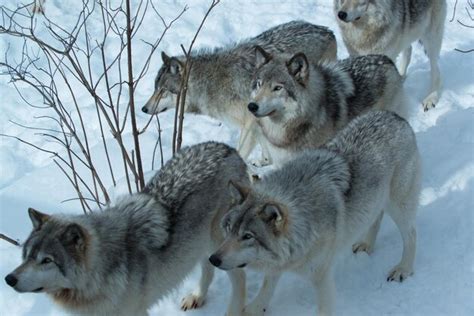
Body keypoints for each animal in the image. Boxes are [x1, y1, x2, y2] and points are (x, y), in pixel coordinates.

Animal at [4, 143, 252, 316]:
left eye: (46, 260)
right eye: (27, 256)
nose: (8, 279)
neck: (100, 274)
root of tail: (229, 149)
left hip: (219, 244)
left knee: (239, 277)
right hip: (200, 244)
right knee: (207, 268)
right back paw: (197, 297)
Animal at [142, 20, 336, 163]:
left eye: (163, 91)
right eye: (155, 88)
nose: (143, 109)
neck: (208, 82)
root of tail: (328, 31)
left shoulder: (251, 121)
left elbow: (241, 152)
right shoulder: (259, 121)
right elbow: (265, 145)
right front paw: (264, 162)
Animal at [211, 111, 422, 316]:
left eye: (247, 236)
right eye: (229, 229)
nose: (213, 259)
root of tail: (395, 116)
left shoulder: (322, 277)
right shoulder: (280, 262)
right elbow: (267, 284)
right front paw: (255, 309)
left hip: (398, 206)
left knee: (411, 234)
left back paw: (403, 269)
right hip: (376, 201)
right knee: (376, 218)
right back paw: (366, 245)